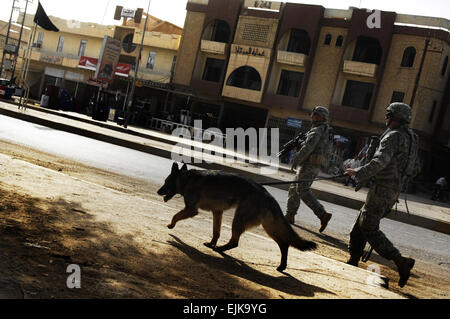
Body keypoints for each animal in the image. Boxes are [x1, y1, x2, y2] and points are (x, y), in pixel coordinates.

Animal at [158, 164, 316, 272]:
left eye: (166, 182)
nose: (158, 191)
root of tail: (267, 195)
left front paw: (171, 224)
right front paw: (212, 242)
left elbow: (176, 215)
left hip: (240, 220)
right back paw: (282, 265)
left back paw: (220, 249)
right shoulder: (217, 212)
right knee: (284, 244)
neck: (186, 179)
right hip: (269, 227)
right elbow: (216, 232)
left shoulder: (191, 210)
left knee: (235, 242)